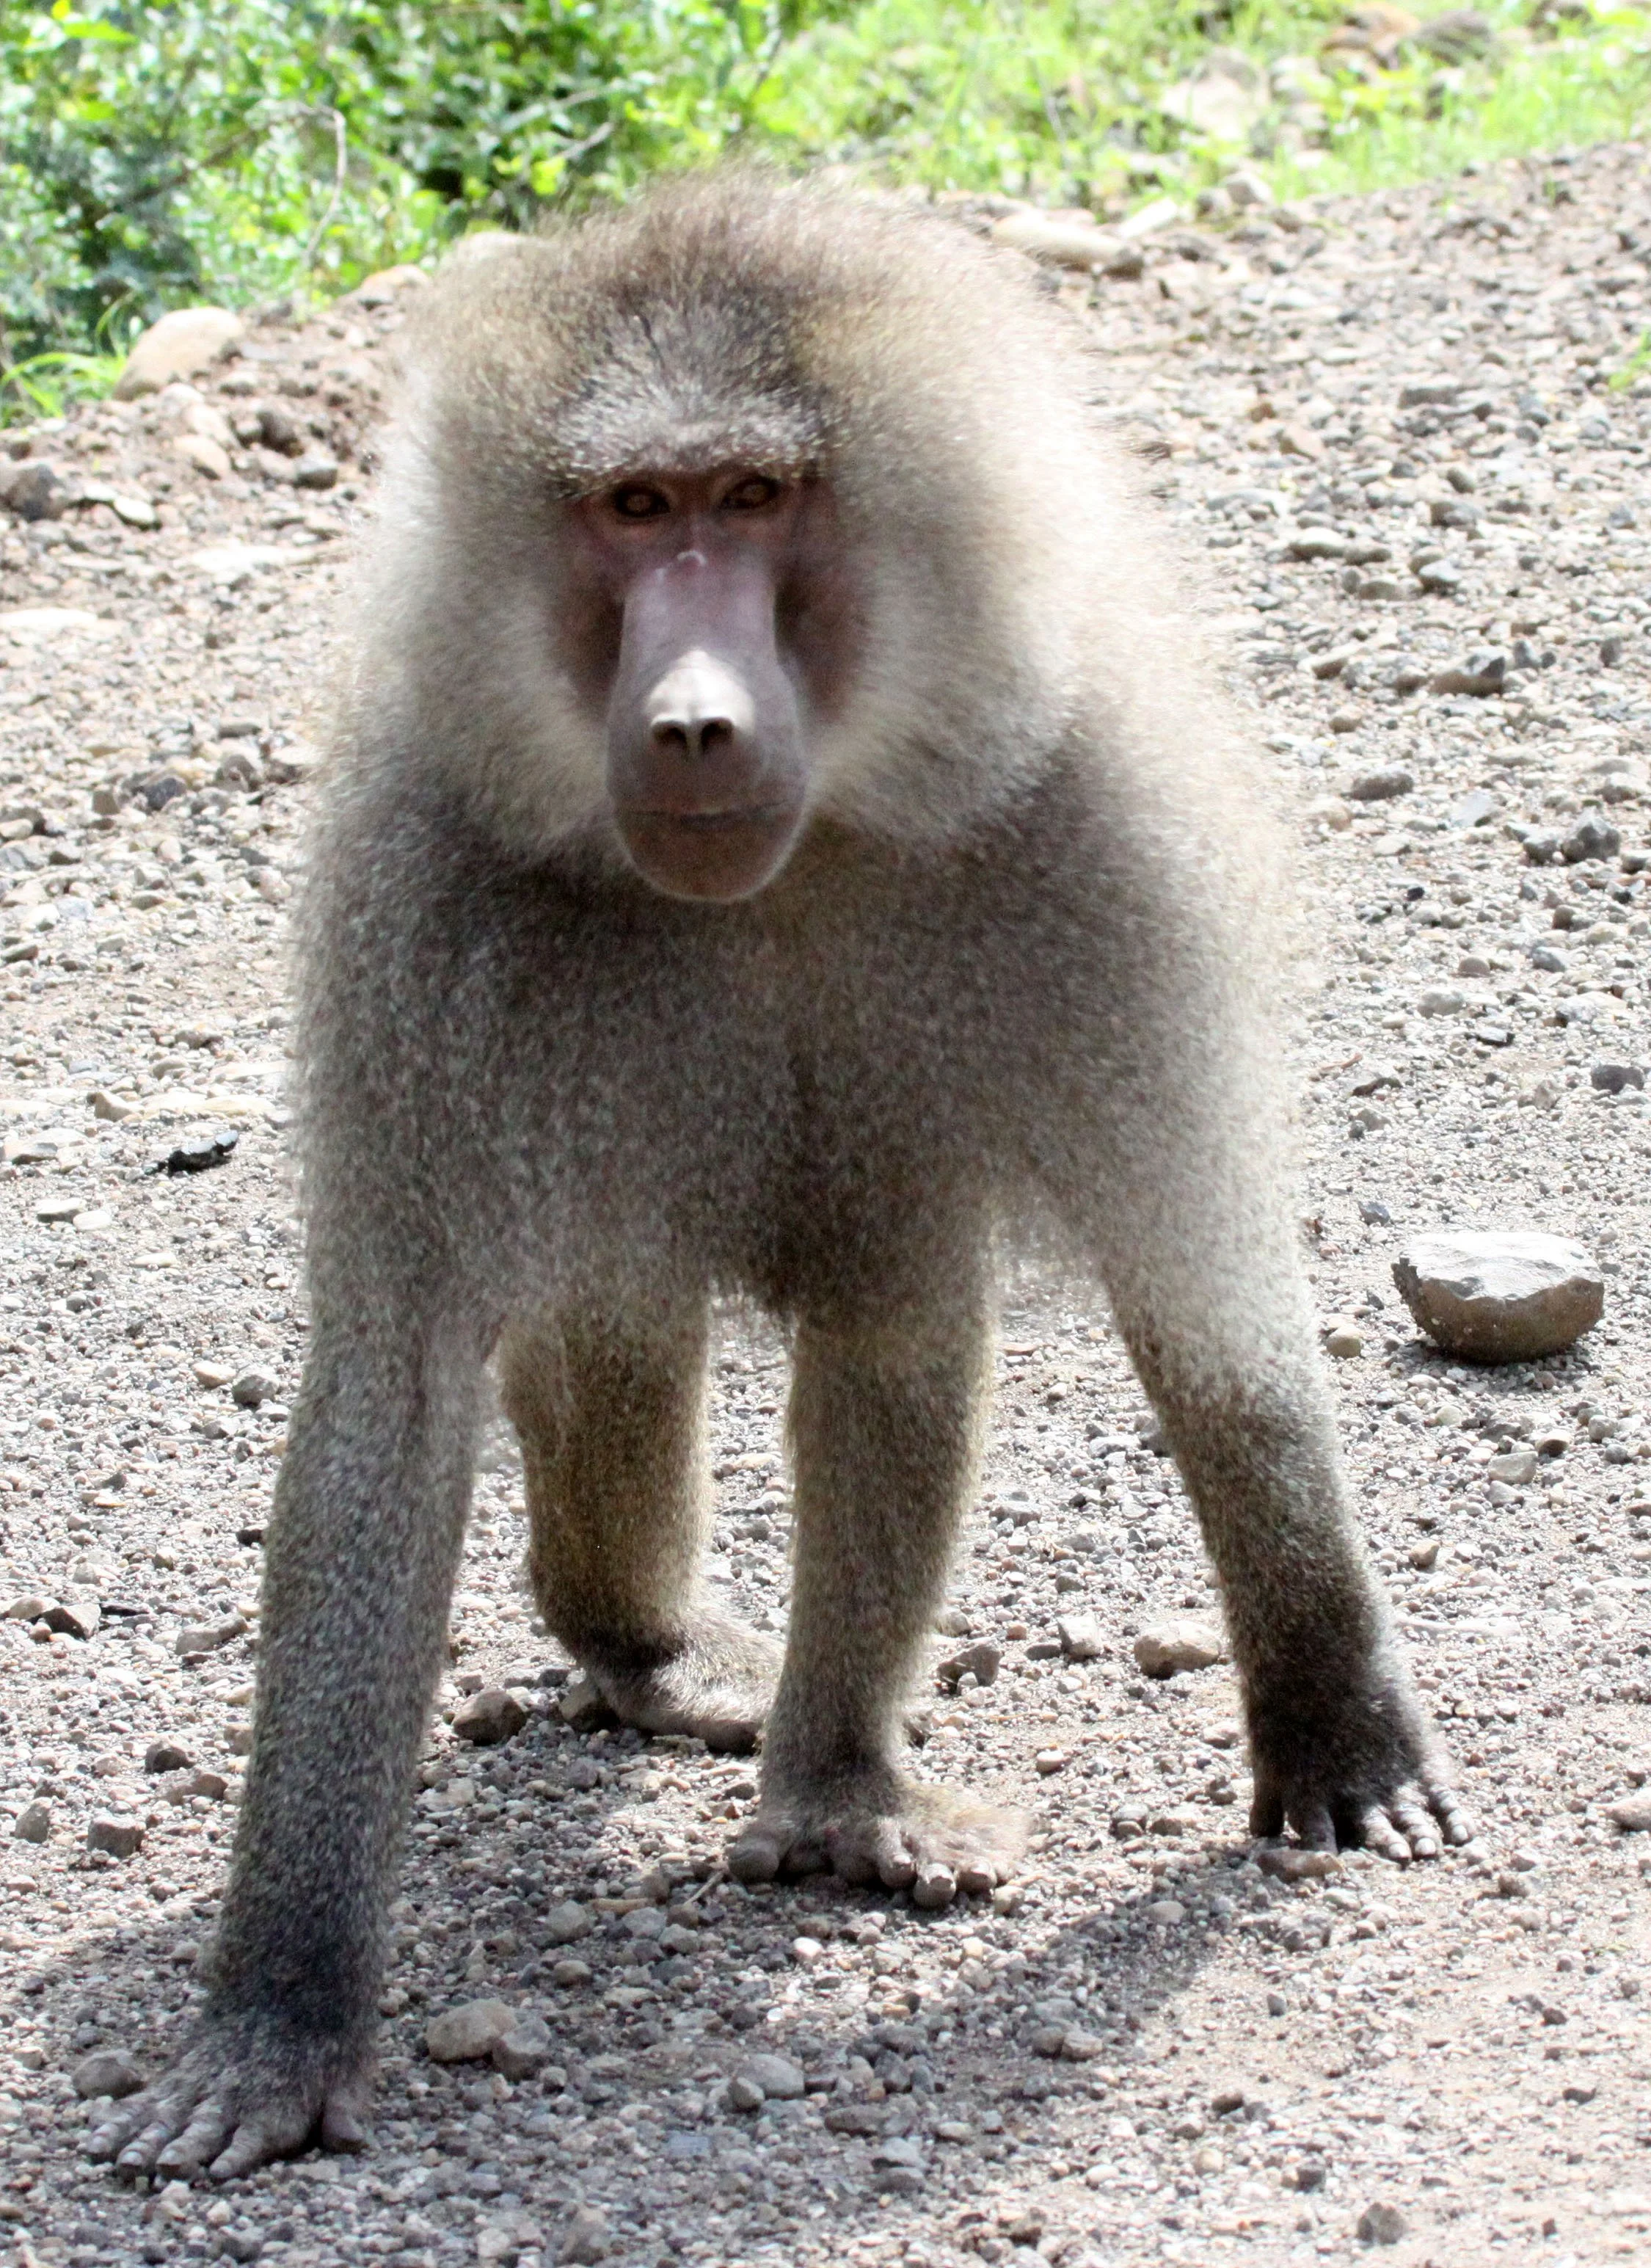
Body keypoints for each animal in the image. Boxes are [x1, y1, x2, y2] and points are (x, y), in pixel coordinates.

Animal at [89, 171, 1472, 2183]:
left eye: (751, 497)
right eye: (630, 511)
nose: (687, 723)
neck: (795, 854)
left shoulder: (1084, 835)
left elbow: (1199, 1300)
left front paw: (1334, 1722)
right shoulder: (429, 903)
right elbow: (395, 1405)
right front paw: (276, 2021)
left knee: (890, 1311)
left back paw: (829, 1791)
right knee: (603, 1336)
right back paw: (655, 1654)